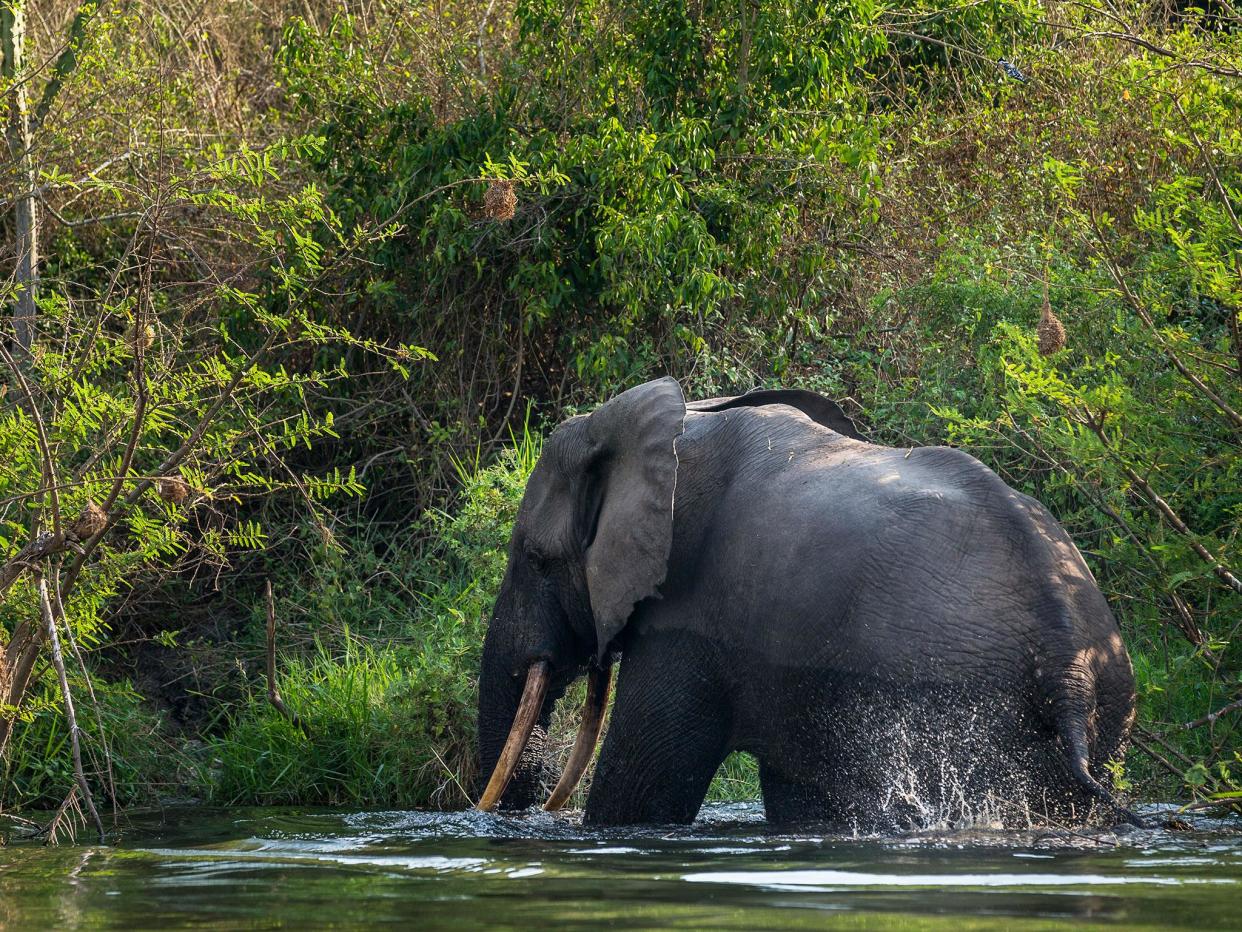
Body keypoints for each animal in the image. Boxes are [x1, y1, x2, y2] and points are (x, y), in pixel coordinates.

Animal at [474, 375, 1137, 830]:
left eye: (534, 558)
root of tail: (1068, 668)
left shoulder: (687, 623)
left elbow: (639, 792)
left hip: (951, 698)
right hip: (1106, 707)